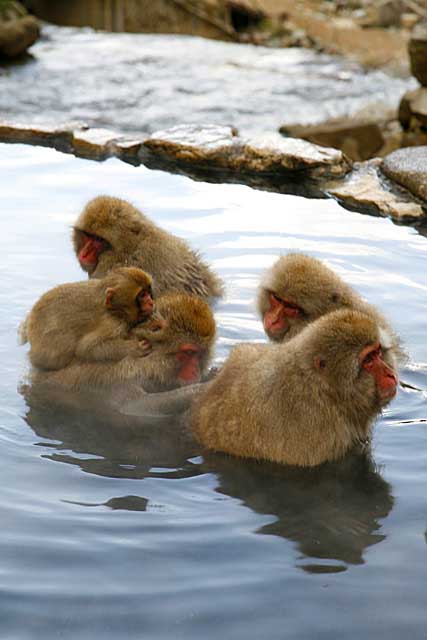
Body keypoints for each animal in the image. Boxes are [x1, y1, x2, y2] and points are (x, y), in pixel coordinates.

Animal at [20, 268, 164, 372]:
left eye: (148, 292)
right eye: (142, 295)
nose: (151, 302)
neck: (114, 310)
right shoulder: (112, 323)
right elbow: (87, 348)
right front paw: (134, 348)